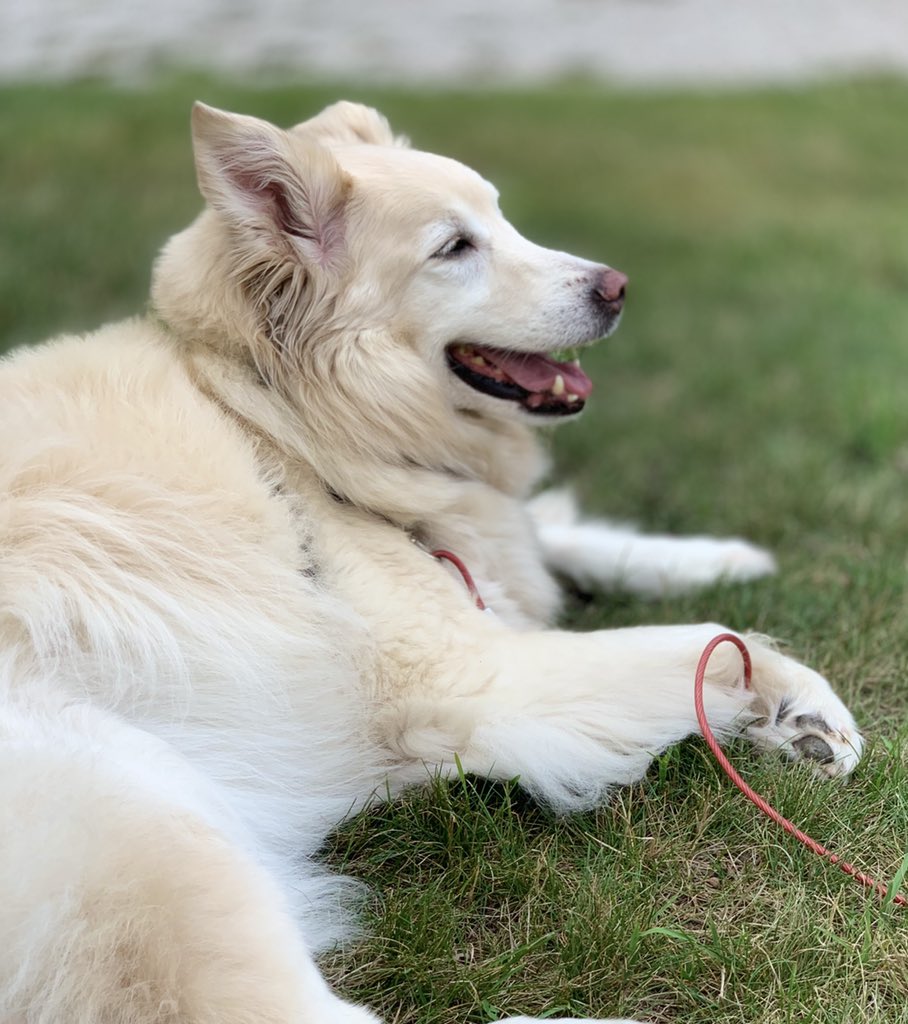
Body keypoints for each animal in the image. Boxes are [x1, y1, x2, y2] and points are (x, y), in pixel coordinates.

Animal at [0, 97, 863, 1024]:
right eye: (455, 249)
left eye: (502, 218)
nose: (616, 287)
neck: (280, 421)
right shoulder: (478, 673)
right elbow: (701, 641)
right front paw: (804, 701)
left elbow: (560, 540)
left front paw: (716, 560)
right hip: (157, 832)